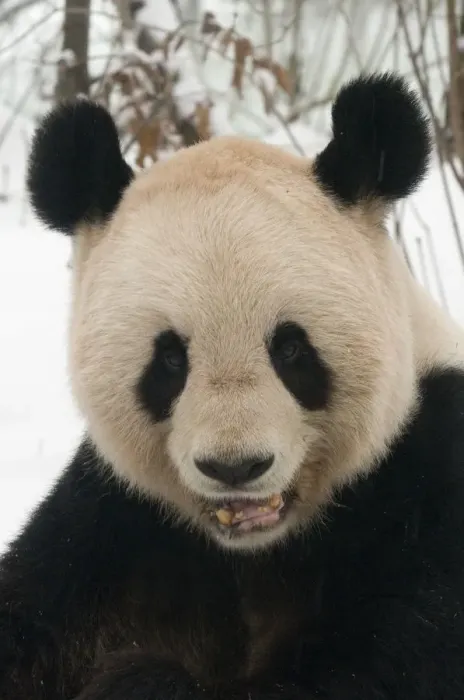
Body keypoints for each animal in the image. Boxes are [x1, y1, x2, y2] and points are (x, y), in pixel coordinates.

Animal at [1, 71, 464, 700]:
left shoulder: (427, 484)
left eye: (290, 348)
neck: (256, 551)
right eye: (170, 359)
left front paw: (137, 680)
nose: (235, 467)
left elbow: (376, 664)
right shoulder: (113, 528)